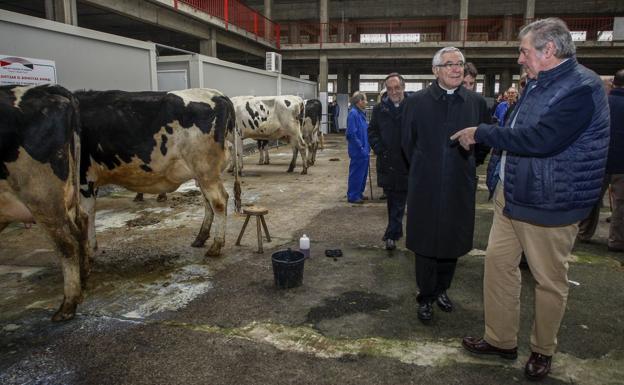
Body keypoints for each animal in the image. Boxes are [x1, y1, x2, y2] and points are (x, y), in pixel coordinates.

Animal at [0, 85, 90, 320]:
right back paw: (83, 279)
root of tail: (47, 89)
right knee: (81, 224)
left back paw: (67, 306)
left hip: (41, 194)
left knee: (66, 243)